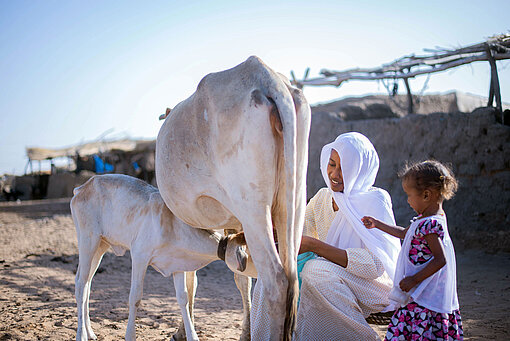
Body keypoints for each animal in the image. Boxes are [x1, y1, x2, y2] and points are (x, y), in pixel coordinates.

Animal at [70, 174, 254, 338]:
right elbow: (135, 297)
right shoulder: (139, 256)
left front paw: (192, 336)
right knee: (81, 284)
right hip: (88, 240)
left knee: (88, 283)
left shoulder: (178, 266)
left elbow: (183, 298)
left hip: (101, 246)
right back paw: (81, 335)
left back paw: (90, 332)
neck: (172, 224)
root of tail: (83, 186)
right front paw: (130, 335)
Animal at [155, 54, 310, 338]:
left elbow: (190, 278)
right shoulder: (234, 223)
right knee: (291, 272)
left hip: (253, 207)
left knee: (276, 281)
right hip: (292, 202)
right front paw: (245, 333)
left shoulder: (187, 219)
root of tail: (266, 77)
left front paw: (182, 331)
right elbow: (241, 278)